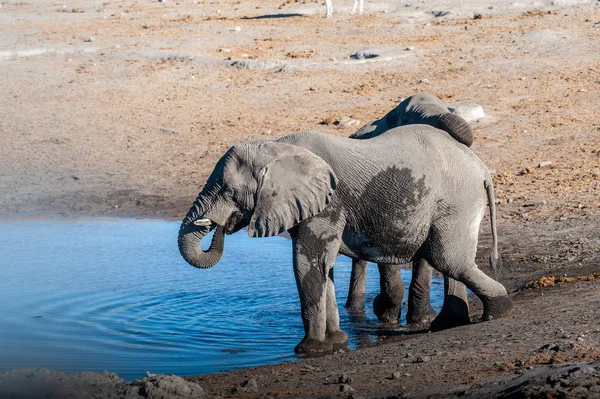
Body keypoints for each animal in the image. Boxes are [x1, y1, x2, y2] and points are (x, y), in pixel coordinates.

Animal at [177, 125, 510, 354]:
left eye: (228, 191)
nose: (220, 226)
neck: (278, 148)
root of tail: (481, 167)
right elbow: (324, 268)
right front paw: (337, 343)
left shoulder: (329, 203)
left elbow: (306, 264)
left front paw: (309, 351)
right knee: (451, 261)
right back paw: (449, 323)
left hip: (456, 200)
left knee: (448, 259)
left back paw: (499, 310)